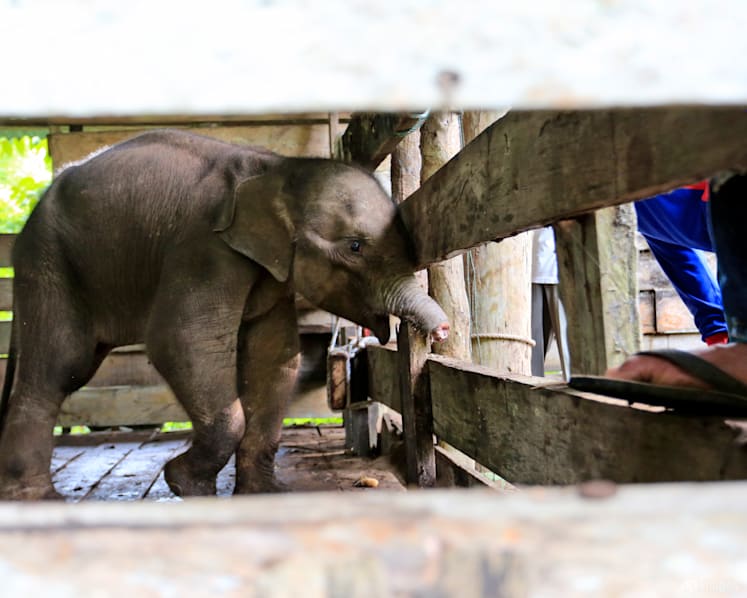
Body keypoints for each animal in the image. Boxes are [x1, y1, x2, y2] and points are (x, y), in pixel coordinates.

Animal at [0, 130, 449, 500]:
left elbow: (275, 355)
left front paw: (265, 494)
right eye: (354, 247)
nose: (442, 330)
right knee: (62, 366)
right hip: (48, 261)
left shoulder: (270, 273)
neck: (274, 170)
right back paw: (37, 497)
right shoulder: (205, 249)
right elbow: (181, 340)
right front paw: (186, 486)